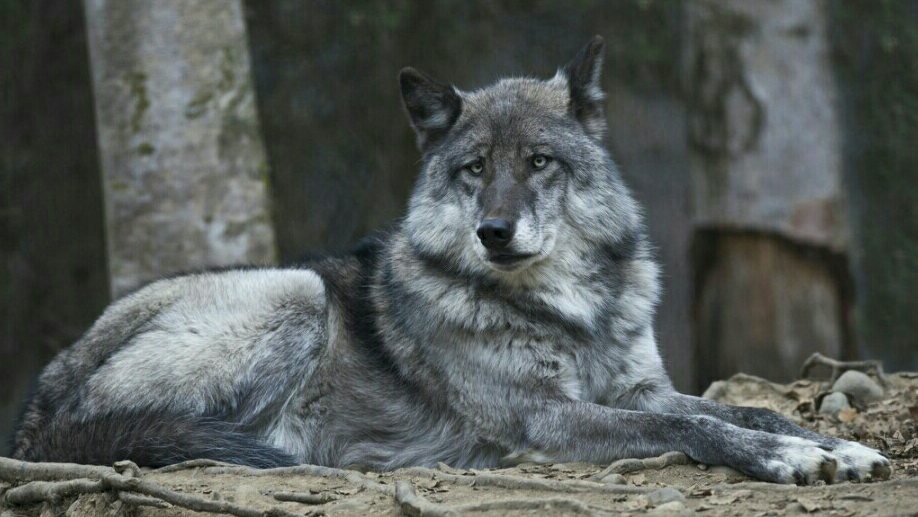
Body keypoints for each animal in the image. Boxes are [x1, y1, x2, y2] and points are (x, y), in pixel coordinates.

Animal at [12, 37, 889, 484]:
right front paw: (789, 457)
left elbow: (739, 408)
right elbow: (696, 427)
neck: (570, 310)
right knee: (165, 432)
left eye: (539, 162)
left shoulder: (642, 386)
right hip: (294, 291)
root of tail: (34, 405)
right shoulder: (548, 415)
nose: (494, 230)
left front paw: (832, 444)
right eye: (474, 168)